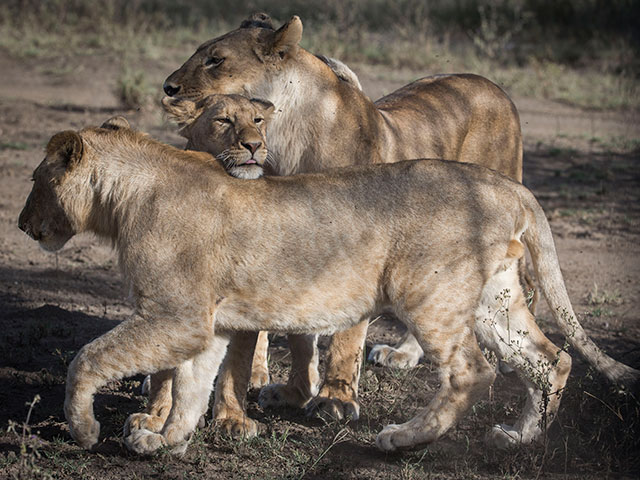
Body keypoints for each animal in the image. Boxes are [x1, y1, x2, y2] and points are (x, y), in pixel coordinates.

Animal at [17, 117, 636, 454]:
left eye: (36, 181)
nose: (22, 225)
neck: (124, 199)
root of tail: (505, 184)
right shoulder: (203, 324)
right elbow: (191, 387)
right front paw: (164, 441)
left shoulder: (175, 315)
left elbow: (89, 359)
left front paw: (84, 429)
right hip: (494, 301)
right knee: (551, 358)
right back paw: (520, 437)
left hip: (427, 295)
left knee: (472, 371)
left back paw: (402, 438)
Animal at [156, 13, 536, 436]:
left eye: (216, 59)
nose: (168, 87)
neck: (289, 140)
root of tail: (491, 85)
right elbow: (300, 335)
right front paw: (295, 392)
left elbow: (345, 336)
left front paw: (333, 399)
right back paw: (403, 354)